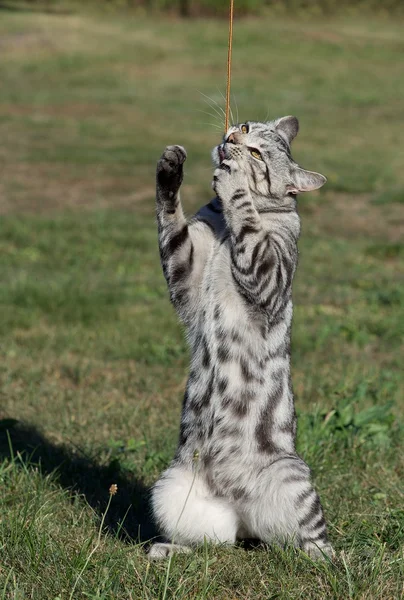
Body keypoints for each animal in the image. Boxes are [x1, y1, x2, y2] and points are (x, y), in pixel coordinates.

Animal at [148, 118, 334, 564]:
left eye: (256, 153)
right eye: (247, 127)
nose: (232, 138)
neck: (222, 230)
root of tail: (244, 512)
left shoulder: (269, 275)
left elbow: (248, 224)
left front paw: (233, 184)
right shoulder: (185, 273)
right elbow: (170, 220)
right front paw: (170, 166)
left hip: (293, 479)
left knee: (313, 538)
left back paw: (332, 561)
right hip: (170, 489)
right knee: (216, 543)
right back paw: (167, 549)